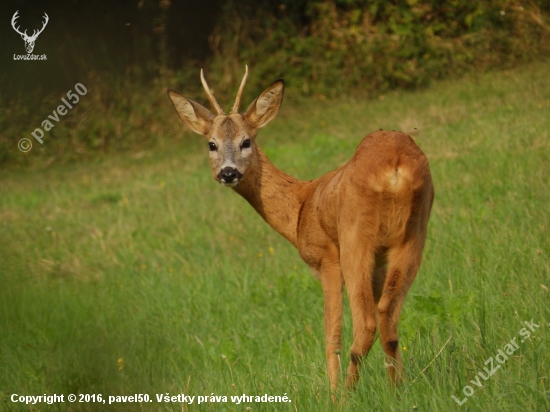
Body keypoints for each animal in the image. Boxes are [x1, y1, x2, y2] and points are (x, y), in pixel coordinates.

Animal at [168, 67, 436, 390]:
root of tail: (395, 166)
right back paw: (397, 388)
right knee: (388, 316)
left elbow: (331, 336)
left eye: (246, 141)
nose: (228, 172)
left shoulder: (325, 258)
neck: (300, 208)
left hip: (355, 237)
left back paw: (348, 391)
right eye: (212, 144)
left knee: (365, 324)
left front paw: (333, 394)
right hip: (413, 235)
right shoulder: (380, 262)